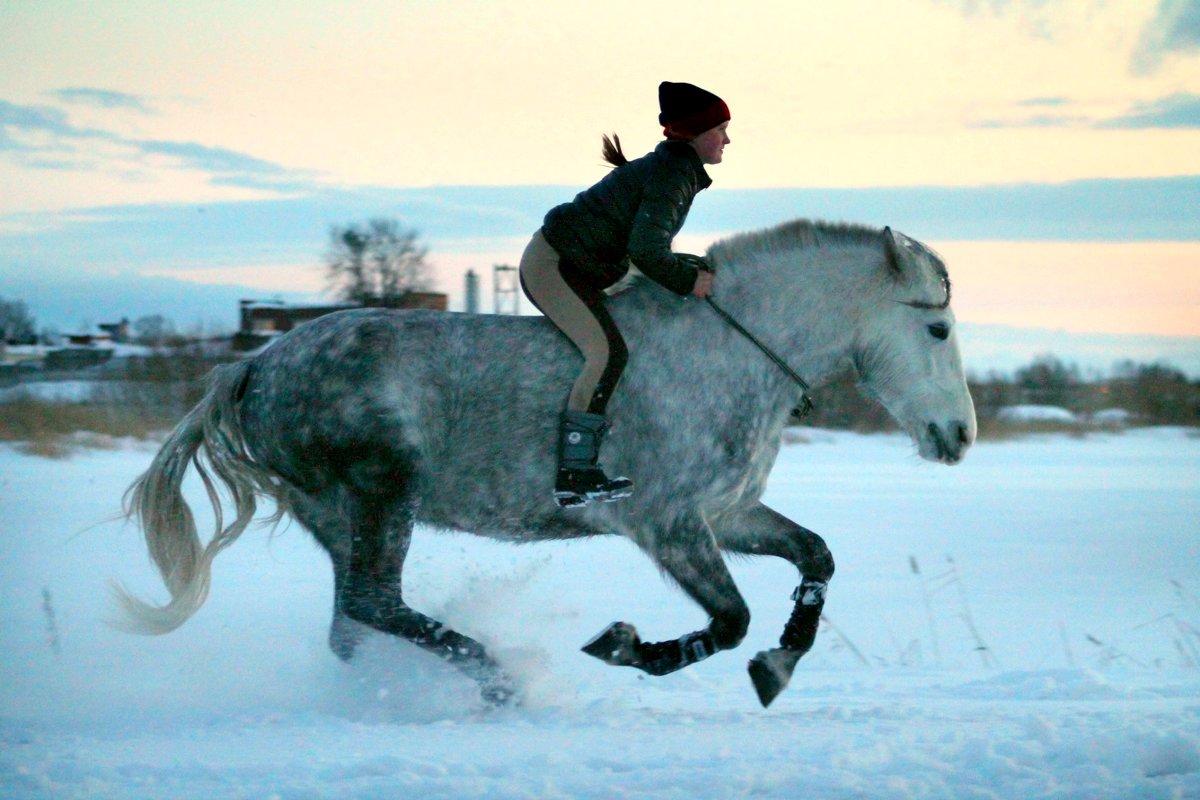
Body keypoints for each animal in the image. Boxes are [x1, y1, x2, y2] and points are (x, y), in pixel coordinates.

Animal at [117, 219, 974, 705]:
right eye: (937, 330)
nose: (959, 436)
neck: (731, 353)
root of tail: (255, 365)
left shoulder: (727, 515)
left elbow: (815, 558)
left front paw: (779, 667)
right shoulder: (668, 522)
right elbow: (729, 621)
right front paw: (626, 646)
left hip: (337, 516)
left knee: (353, 623)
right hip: (384, 492)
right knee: (374, 603)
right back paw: (500, 680)